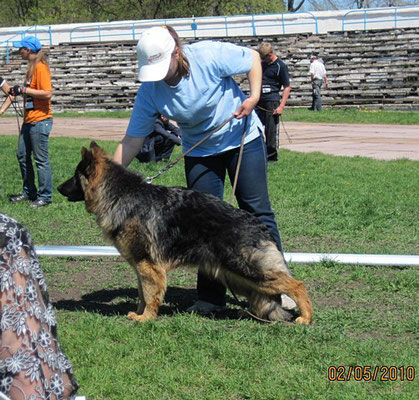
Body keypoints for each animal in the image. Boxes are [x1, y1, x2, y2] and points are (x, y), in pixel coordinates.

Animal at [58, 142, 312, 324]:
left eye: (75, 176)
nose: (59, 188)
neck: (119, 195)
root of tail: (257, 224)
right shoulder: (141, 267)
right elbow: (141, 293)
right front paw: (139, 313)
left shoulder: (148, 265)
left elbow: (149, 294)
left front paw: (146, 317)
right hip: (237, 276)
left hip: (247, 269)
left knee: (297, 285)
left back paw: (305, 317)